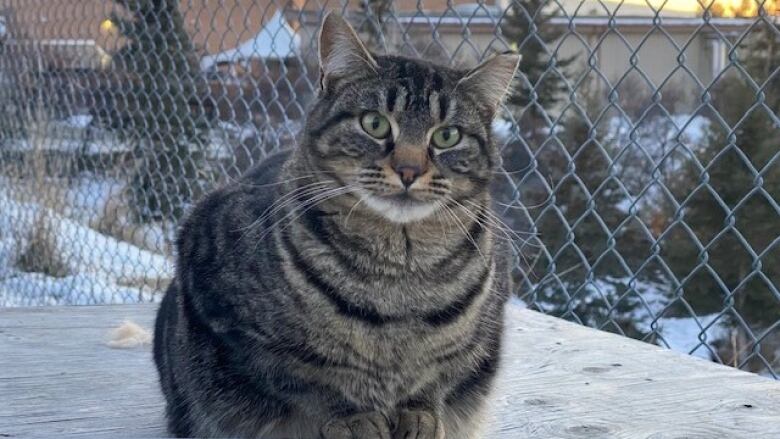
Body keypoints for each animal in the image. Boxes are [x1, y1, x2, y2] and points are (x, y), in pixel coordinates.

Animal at [152, 11, 516, 439]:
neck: (398, 274)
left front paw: (420, 416)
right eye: (374, 123)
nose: (409, 170)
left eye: (447, 135)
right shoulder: (237, 325)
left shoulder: (474, 345)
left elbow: (435, 381)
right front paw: (354, 419)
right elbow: (312, 379)